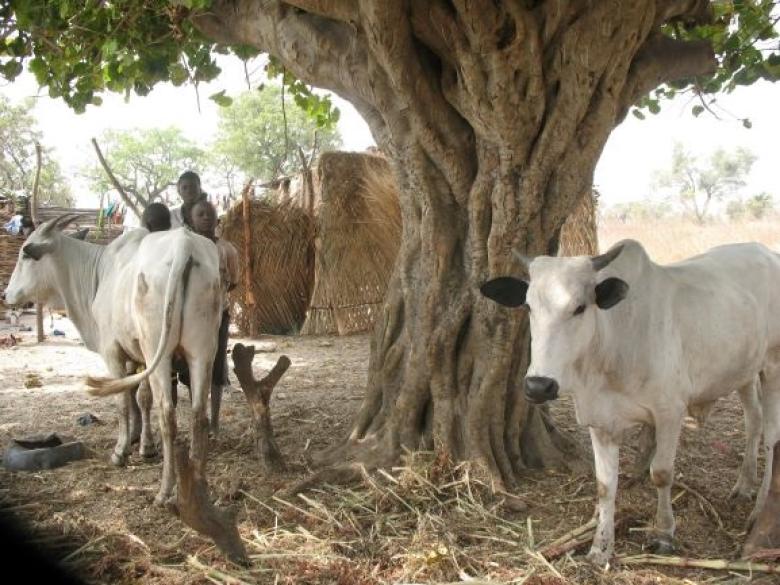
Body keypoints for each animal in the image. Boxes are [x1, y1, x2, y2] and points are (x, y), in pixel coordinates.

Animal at [3, 214, 222, 502]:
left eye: (25, 255)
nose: (6, 294)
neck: (98, 273)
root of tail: (183, 244)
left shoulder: (113, 352)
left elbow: (123, 402)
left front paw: (121, 452)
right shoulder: (139, 355)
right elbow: (142, 398)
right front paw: (146, 448)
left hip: (160, 351)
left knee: (168, 414)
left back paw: (165, 490)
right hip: (202, 351)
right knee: (198, 415)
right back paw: (198, 487)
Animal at [478, 238, 776, 564]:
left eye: (579, 307)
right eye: (528, 306)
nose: (539, 385)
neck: (614, 344)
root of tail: (763, 250)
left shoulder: (670, 412)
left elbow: (661, 473)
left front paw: (664, 533)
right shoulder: (600, 421)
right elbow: (605, 485)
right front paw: (600, 547)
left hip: (773, 367)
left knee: (771, 438)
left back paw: (759, 510)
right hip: (743, 372)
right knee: (753, 421)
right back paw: (744, 485)